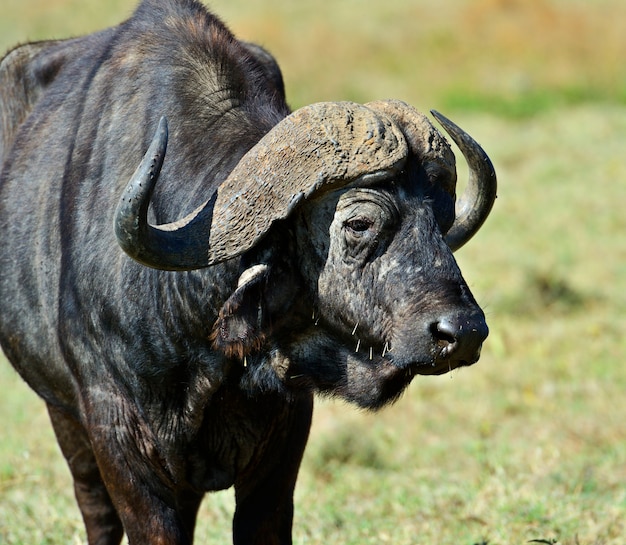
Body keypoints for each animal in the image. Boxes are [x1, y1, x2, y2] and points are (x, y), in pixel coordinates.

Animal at [1, 1, 498, 544]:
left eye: (441, 219)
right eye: (359, 223)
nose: (463, 332)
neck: (208, 357)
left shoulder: (284, 437)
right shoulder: (117, 433)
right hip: (64, 418)